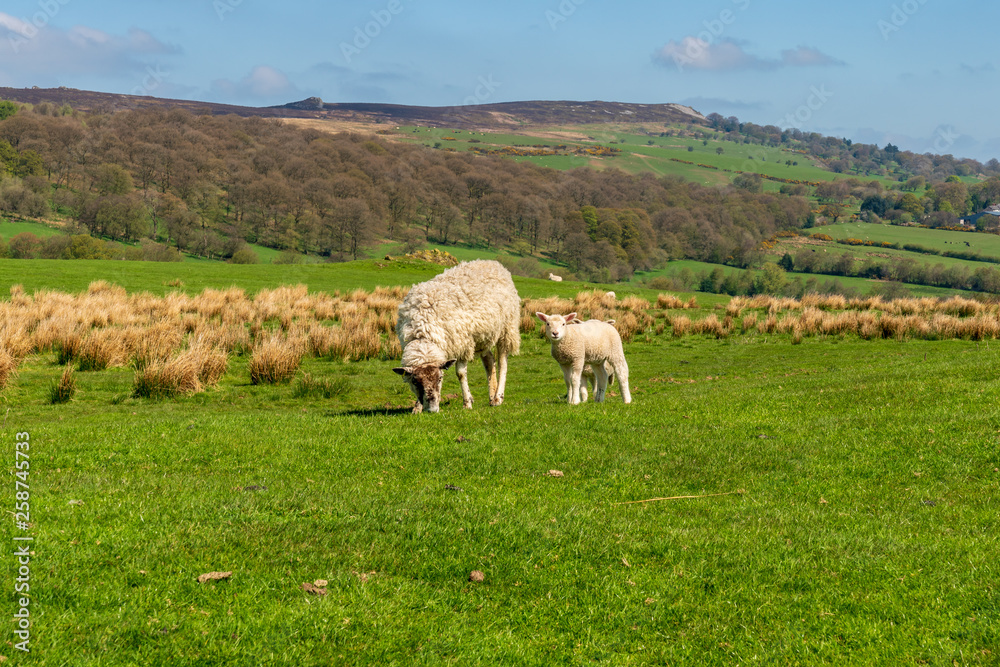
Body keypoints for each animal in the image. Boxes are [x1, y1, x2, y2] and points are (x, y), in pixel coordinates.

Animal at [390, 260, 520, 412]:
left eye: (440, 378)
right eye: (415, 382)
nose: (432, 409)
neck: (423, 333)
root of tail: (494, 263)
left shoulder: (463, 343)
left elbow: (461, 374)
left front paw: (467, 403)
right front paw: (417, 408)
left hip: (507, 329)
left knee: (502, 363)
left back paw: (499, 397)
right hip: (483, 336)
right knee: (490, 361)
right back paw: (492, 397)